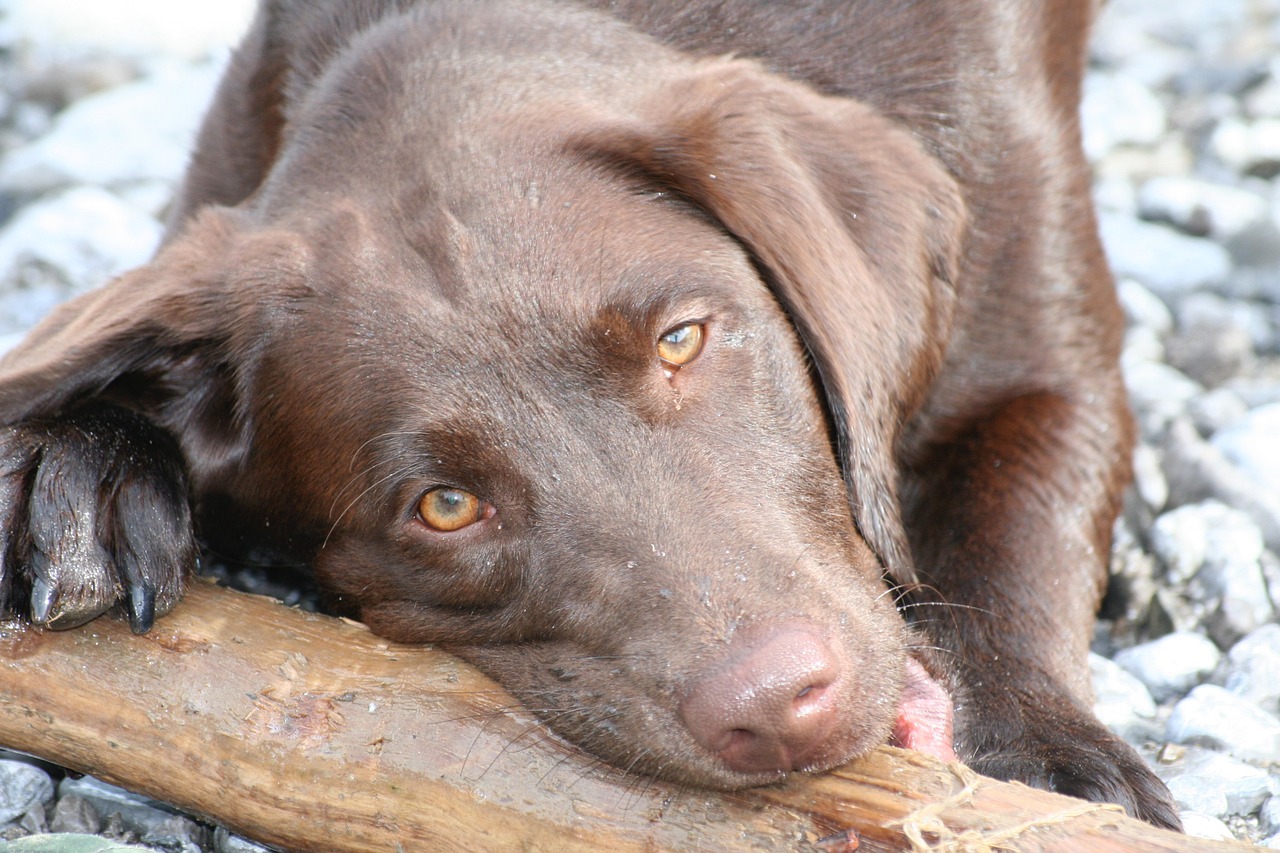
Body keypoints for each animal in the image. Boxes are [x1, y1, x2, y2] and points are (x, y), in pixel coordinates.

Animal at [0, 0, 1177, 824]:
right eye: (442, 505)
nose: (774, 704)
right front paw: (77, 469)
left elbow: (1013, 535)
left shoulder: (1042, 338)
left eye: (682, 340)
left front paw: (1041, 762)